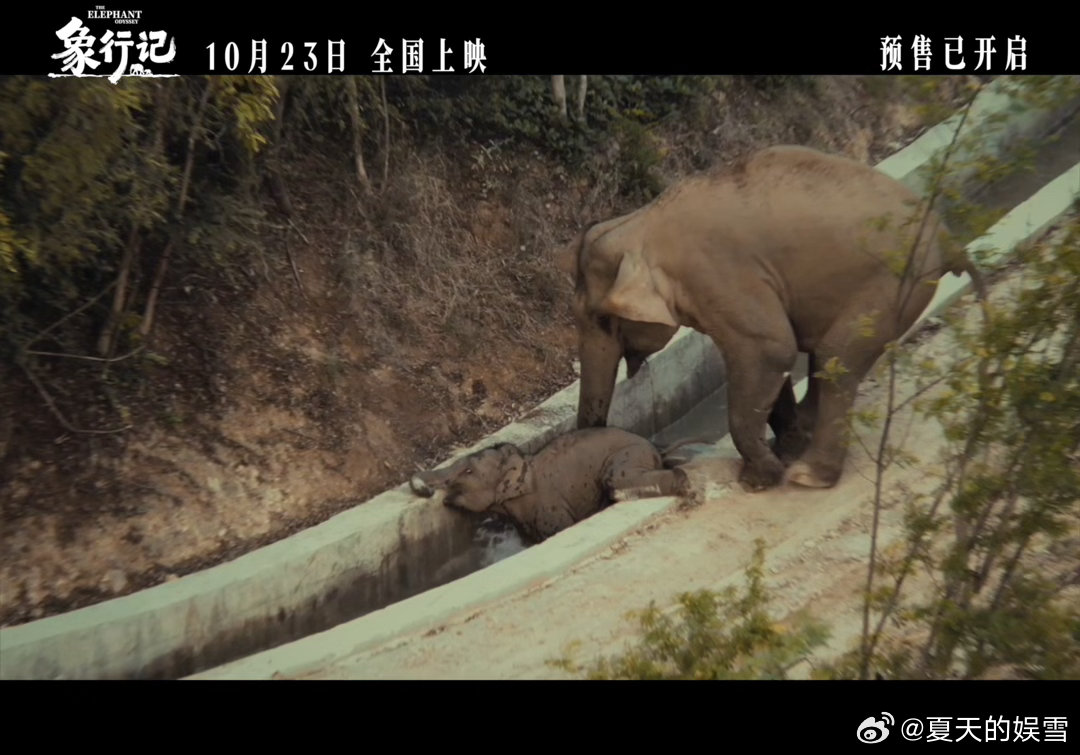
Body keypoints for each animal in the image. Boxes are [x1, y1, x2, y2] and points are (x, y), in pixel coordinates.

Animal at [409, 427, 698, 544]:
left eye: (468, 471)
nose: (422, 489)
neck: (522, 463)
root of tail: (654, 448)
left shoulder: (549, 509)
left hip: (628, 456)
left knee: (616, 481)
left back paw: (687, 485)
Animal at [556, 144, 987, 492]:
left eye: (603, 319)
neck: (643, 222)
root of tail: (945, 236)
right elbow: (771, 356)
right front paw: (784, 449)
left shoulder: (718, 273)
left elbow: (770, 349)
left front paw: (759, 479)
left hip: (896, 281)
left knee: (835, 357)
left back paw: (808, 476)